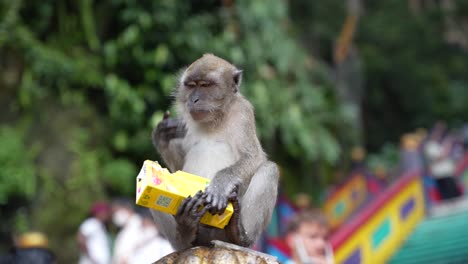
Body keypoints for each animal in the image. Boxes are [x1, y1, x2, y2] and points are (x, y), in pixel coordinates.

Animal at [152, 54, 280, 252]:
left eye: (206, 85)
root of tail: (208, 241)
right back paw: (185, 233)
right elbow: (177, 167)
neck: (215, 119)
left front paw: (220, 184)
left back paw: (239, 235)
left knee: (269, 169)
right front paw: (162, 136)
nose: (194, 100)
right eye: (191, 85)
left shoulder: (243, 112)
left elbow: (254, 157)